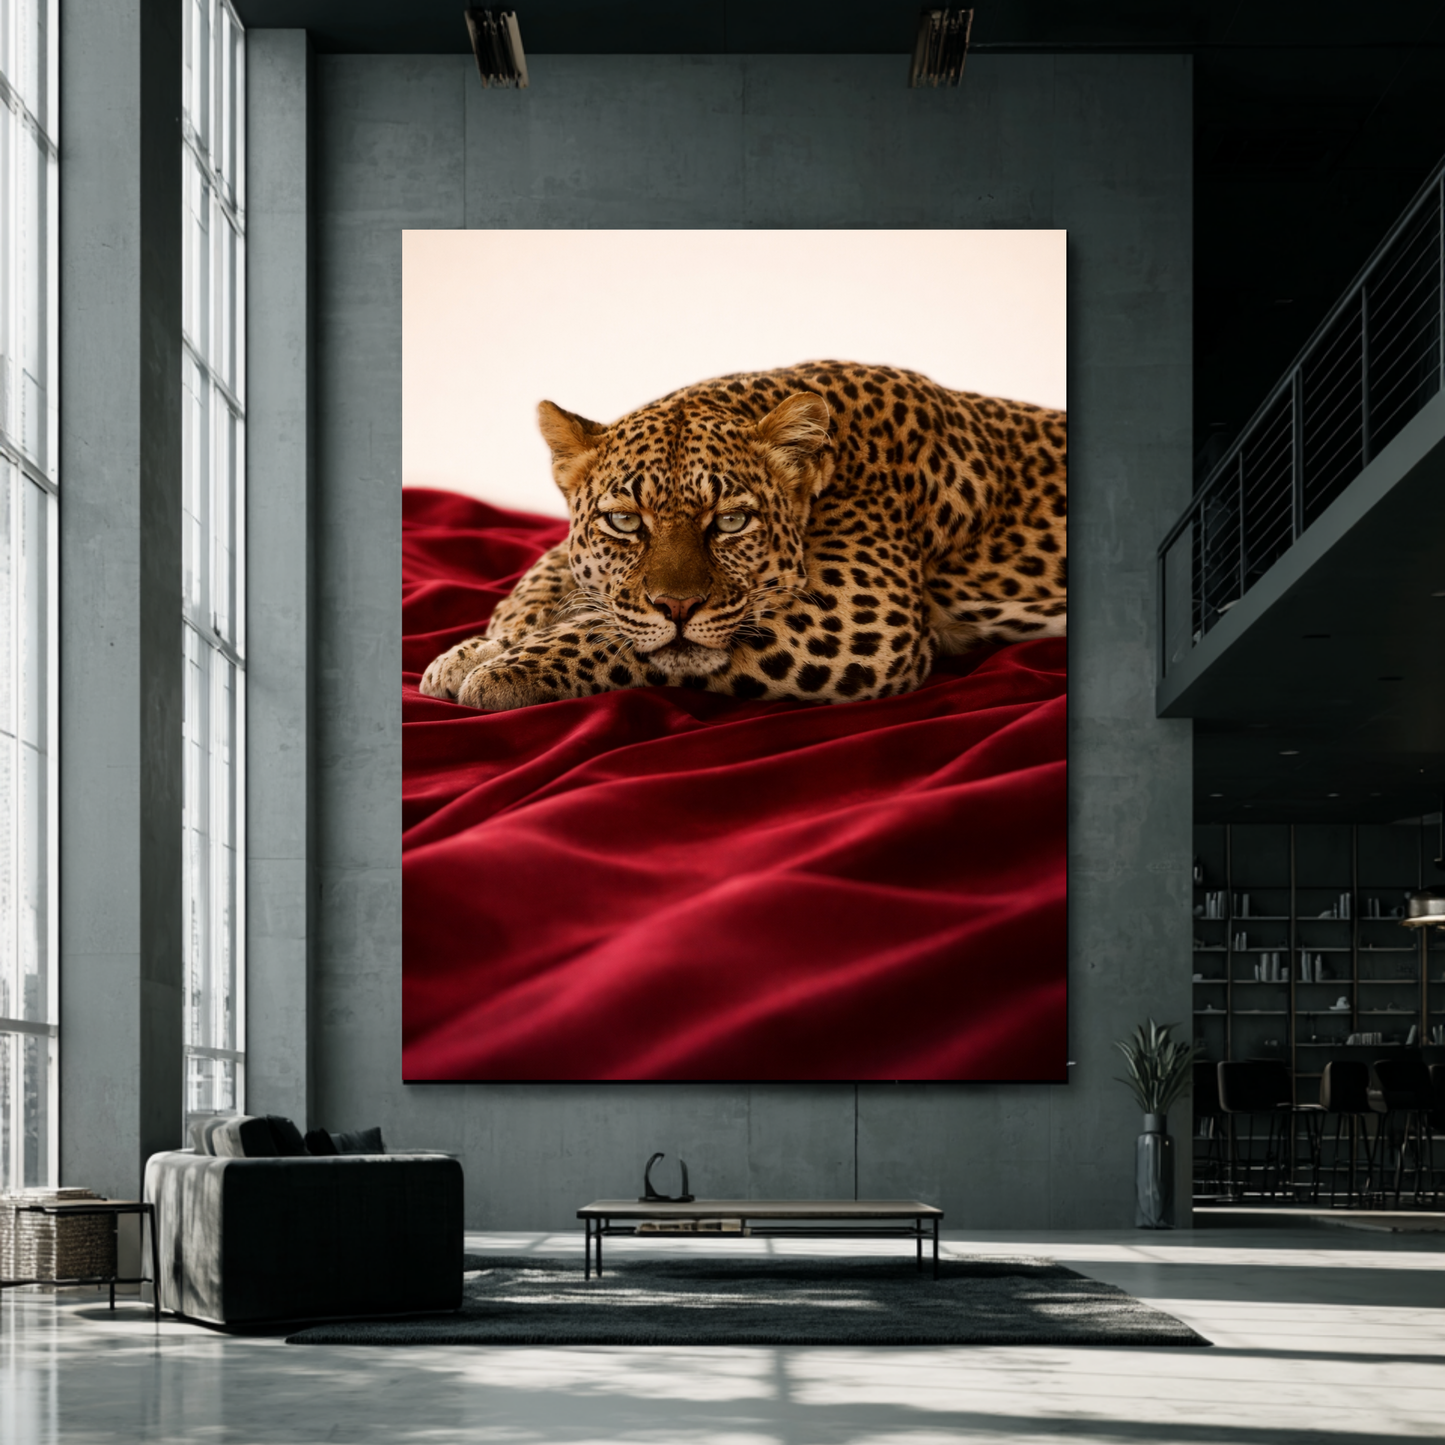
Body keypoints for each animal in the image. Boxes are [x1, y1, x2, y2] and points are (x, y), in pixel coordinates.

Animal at [419, 361, 1066, 711]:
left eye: (730, 521)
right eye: (625, 521)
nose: (677, 606)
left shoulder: (859, 620)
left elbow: (618, 636)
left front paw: (502, 670)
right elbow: (549, 575)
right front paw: (480, 648)